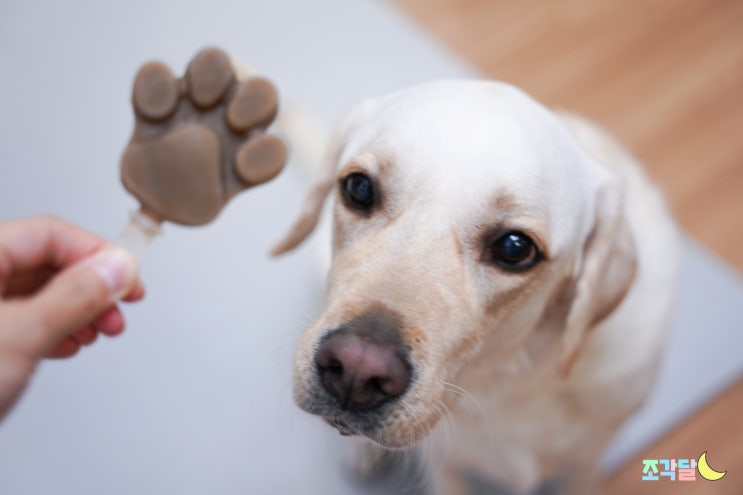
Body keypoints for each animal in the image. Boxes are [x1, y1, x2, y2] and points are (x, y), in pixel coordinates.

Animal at [274, 79, 680, 494]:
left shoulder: (587, 459)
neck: (508, 381)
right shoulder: (442, 464)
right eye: (359, 188)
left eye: (514, 248)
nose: (356, 371)